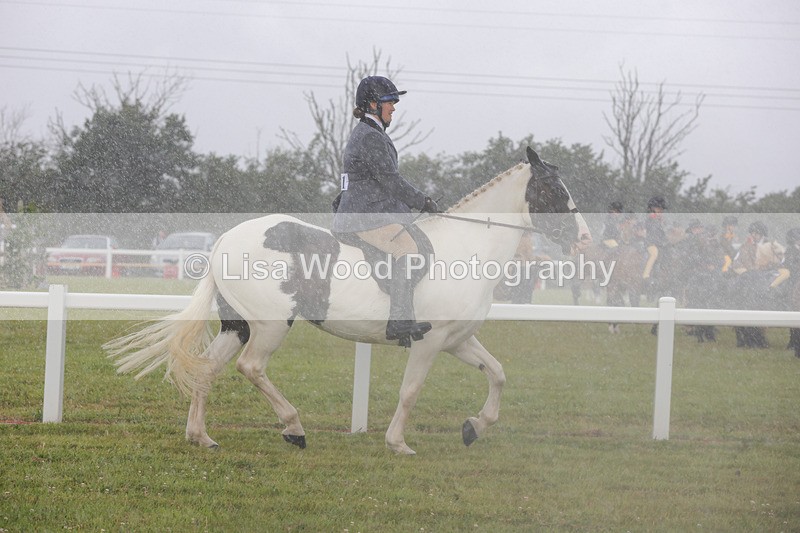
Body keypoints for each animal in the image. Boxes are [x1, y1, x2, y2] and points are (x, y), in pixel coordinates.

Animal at [104, 147, 589, 455]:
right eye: (553, 189)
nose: (584, 238)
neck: (468, 245)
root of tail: (225, 238)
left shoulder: (458, 340)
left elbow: (498, 374)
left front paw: (473, 428)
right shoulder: (430, 342)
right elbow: (411, 390)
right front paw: (398, 442)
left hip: (237, 325)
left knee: (208, 368)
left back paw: (201, 437)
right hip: (270, 324)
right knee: (251, 367)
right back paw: (294, 429)